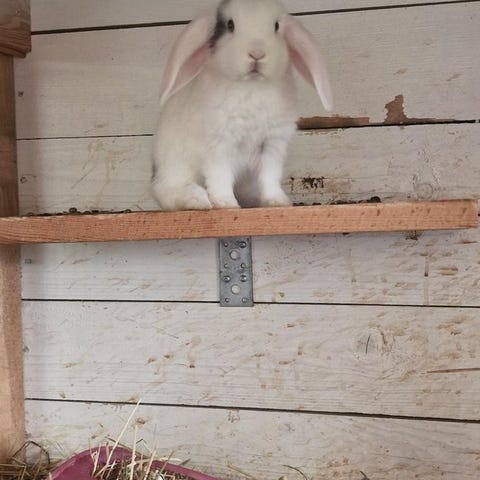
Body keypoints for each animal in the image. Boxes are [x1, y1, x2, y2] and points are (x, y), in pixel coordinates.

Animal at [152, 0, 333, 211]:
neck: (252, 86)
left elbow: (270, 177)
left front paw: (277, 202)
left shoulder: (272, 146)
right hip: (174, 167)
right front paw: (226, 204)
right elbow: (220, 176)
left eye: (276, 26)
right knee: (167, 192)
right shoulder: (219, 145)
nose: (257, 54)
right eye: (230, 25)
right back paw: (196, 199)